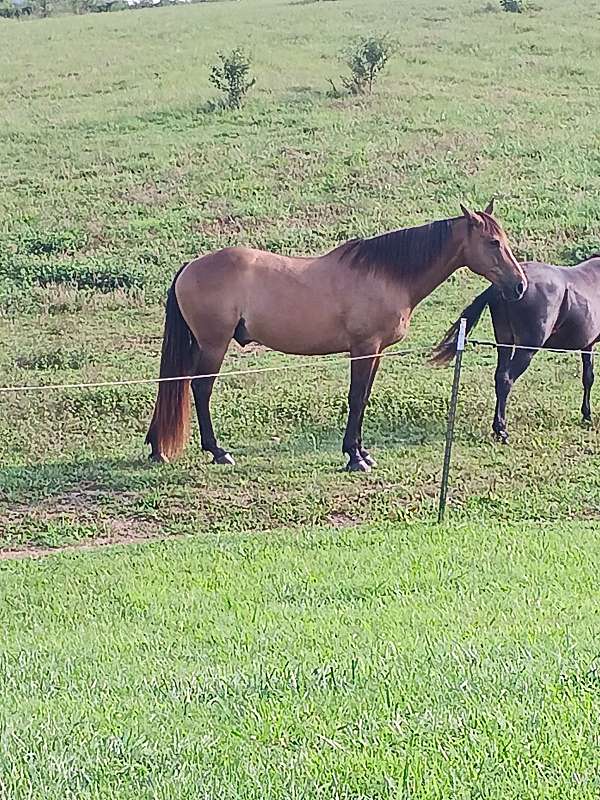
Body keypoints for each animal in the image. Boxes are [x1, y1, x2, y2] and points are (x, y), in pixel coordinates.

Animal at [145, 201, 527, 472]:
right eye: (493, 242)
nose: (519, 285)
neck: (386, 275)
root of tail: (190, 266)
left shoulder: (375, 353)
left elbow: (364, 398)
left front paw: (362, 452)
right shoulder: (363, 348)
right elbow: (356, 398)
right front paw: (354, 458)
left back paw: (156, 447)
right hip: (214, 344)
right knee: (200, 388)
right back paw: (217, 451)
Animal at [431, 255, 600, 442]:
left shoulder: (588, 346)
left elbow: (588, 377)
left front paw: (586, 415)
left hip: (505, 343)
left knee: (500, 377)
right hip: (526, 349)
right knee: (506, 379)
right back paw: (501, 429)